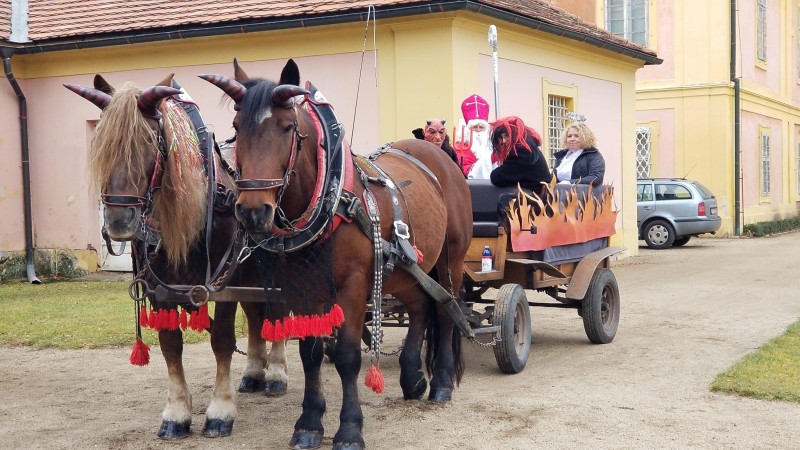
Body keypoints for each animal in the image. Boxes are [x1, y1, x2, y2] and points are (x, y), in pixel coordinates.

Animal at [65, 76, 290, 440]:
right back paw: (255, 371)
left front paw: (220, 410)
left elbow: (222, 340)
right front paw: (177, 413)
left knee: (275, 311)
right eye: (101, 144)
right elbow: (170, 344)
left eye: (147, 141)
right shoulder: (161, 289)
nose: (118, 222)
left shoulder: (222, 284)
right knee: (256, 315)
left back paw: (276, 373)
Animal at [202, 60, 476, 450]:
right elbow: (310, 353)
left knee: (444, 310)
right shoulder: (300, 288)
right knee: (420, 307)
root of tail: (438, 155)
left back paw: (439, 384)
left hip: (449, 259)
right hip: (406, 267)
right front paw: (309, 422)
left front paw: (349, 428)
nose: (253, 211)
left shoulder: (354, 285)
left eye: (287, 127)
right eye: (238, 128)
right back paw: (412, 377)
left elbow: (347, 355)